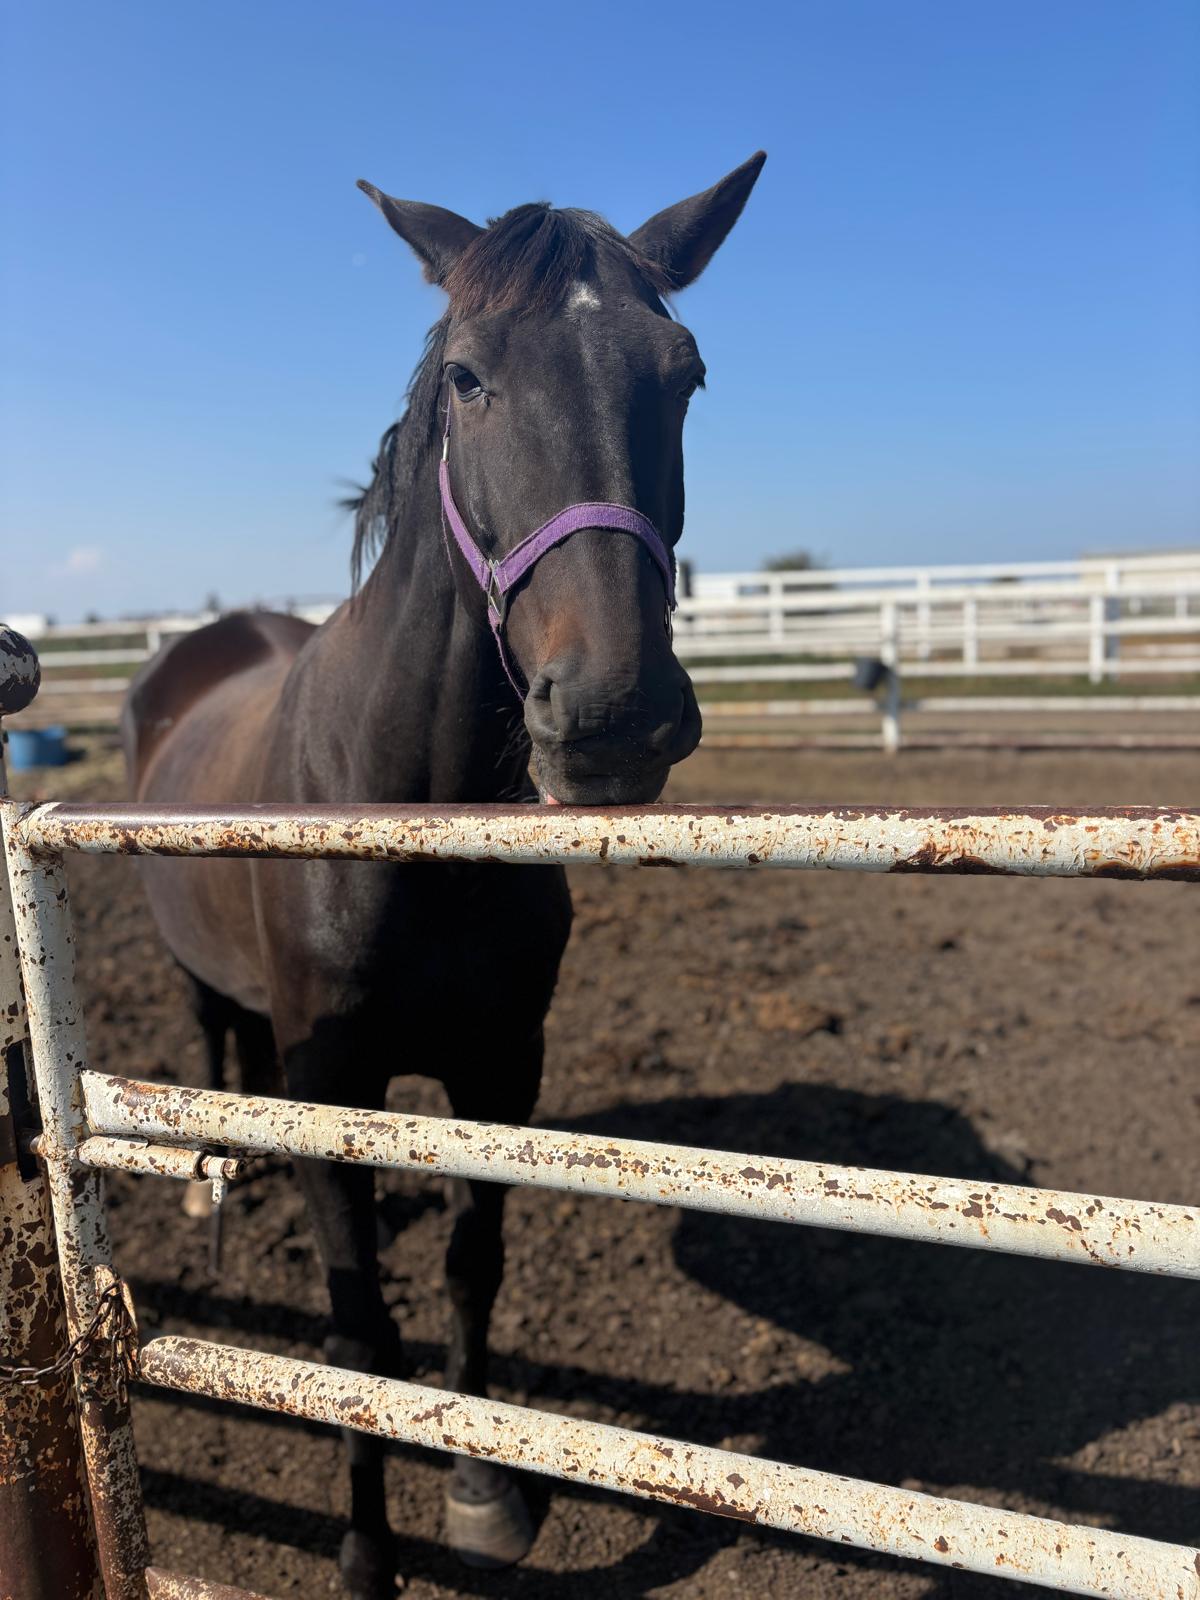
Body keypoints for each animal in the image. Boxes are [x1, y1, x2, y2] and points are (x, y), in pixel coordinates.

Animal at [121, 151, 765, 1599]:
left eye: (686, 372)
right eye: (469, 375)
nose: (615, 712)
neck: (404, 807)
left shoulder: (500, 1065)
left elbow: (476, 1267)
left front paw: (482, 1488)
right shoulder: (332, 1081)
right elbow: (361, 1336)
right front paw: (367, 1551)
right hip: (204, 982)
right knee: (216, 1045)